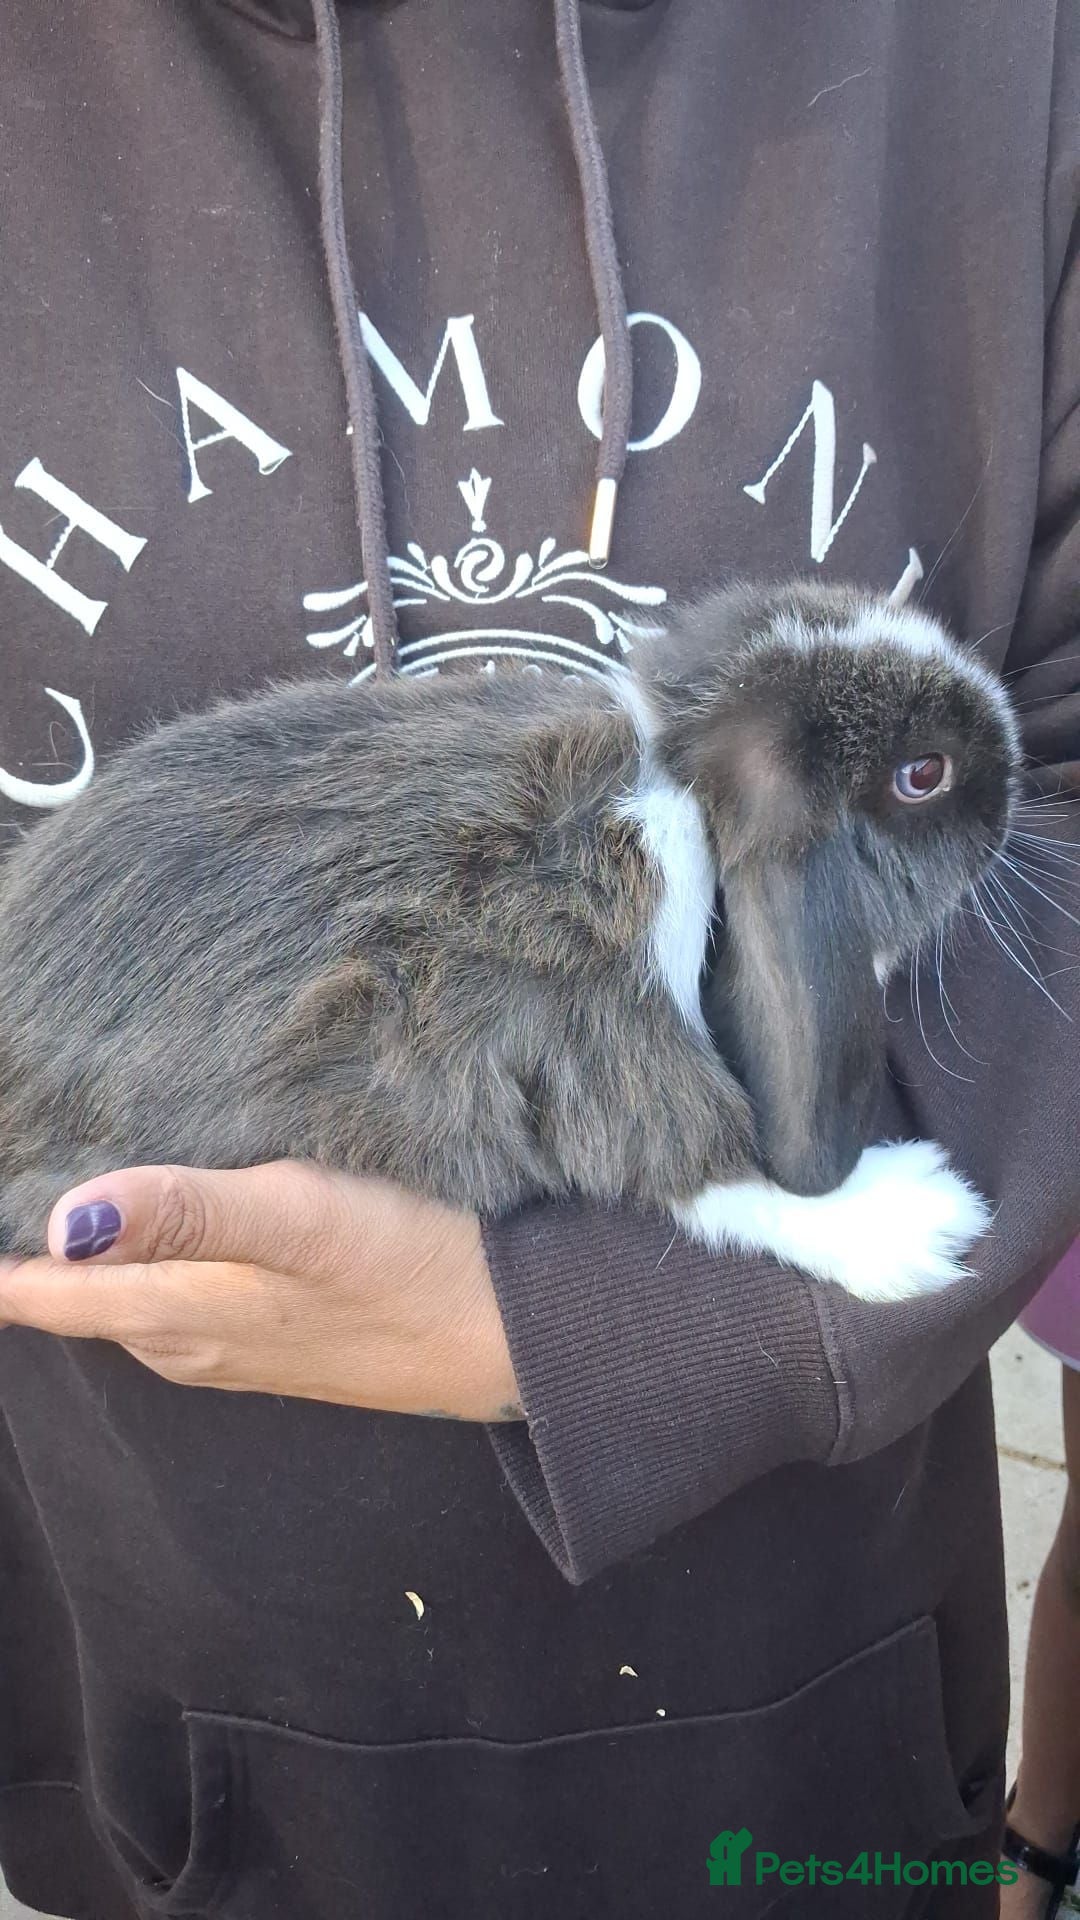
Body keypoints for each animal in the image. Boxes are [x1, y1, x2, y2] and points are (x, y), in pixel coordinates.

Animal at [0, 579, 1020, 1302]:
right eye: (923, 774)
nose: (1013, 778)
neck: (676, 794)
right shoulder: (594, 1031)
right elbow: (696, 1165)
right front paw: (913, 1224)